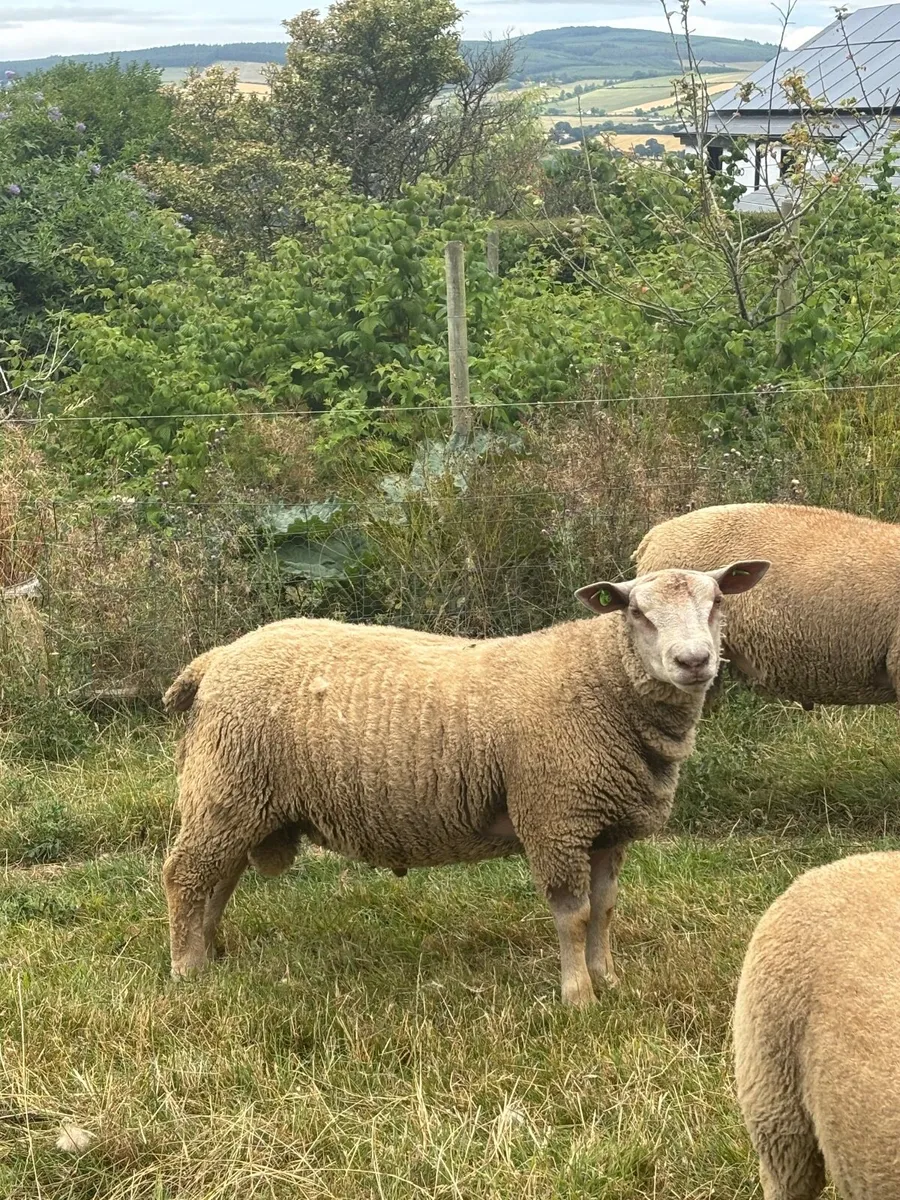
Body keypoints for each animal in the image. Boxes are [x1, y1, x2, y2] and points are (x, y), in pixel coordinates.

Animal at [161, 560, 768, 1005]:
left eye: (717, 602)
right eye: (638, 612)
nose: (694, 661)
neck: (602, 681)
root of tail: (217, 658)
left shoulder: (605, 826)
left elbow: (605, 909)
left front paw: (610, 981)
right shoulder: (556, 817)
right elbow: (572, 915)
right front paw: (578, 998)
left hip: (240, 795)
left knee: (221, 875)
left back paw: (211, 953)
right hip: (227, 783)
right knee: (186, 873)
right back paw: (186, 969)